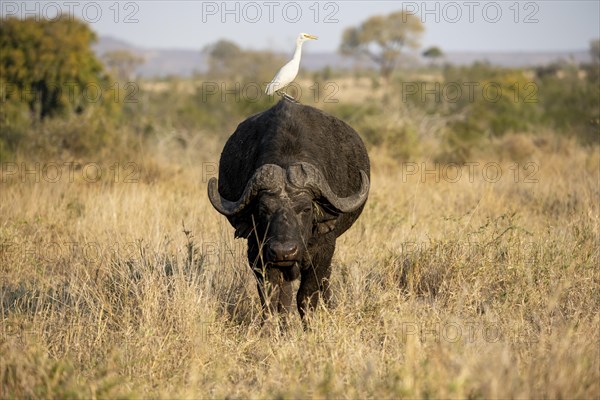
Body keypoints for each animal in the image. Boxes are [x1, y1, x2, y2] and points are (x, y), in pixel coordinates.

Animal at [211, 99, 370, 318]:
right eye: (263, 210)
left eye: (306, 209)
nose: (283, 252)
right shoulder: (257, 253)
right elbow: (273, 298)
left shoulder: (323, 251)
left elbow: (307, 295)